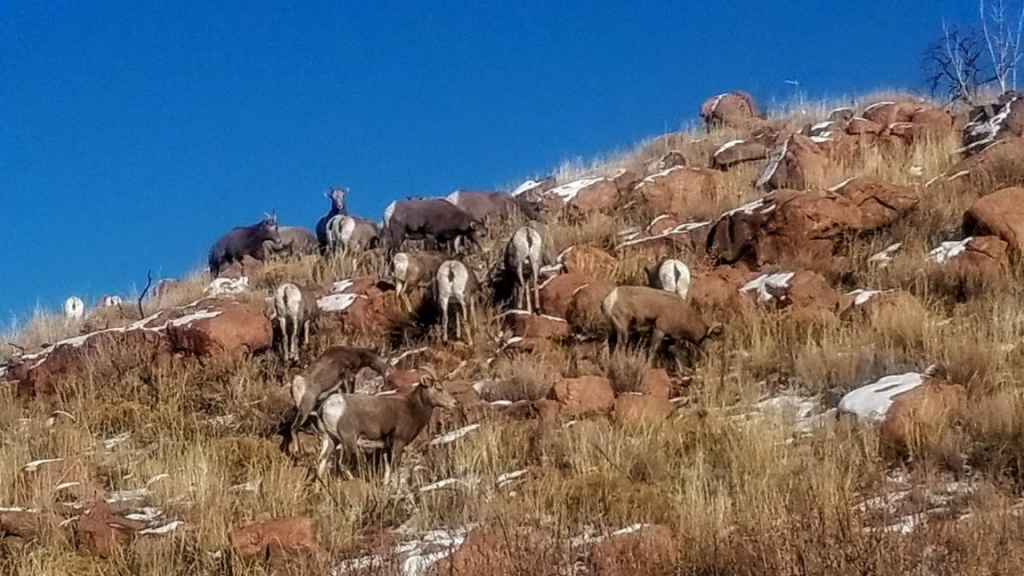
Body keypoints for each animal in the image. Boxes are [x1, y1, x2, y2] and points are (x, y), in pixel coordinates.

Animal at [311, 366, 456, 479]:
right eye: (438, 388)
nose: (454, 403)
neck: (412, 407)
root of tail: (326, 406)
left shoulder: (385, 447)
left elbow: (387, 471)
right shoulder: (398, 442)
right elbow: (394, 468)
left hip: (331, 439)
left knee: (321, 462)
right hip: (348, 442)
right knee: (343, 464)